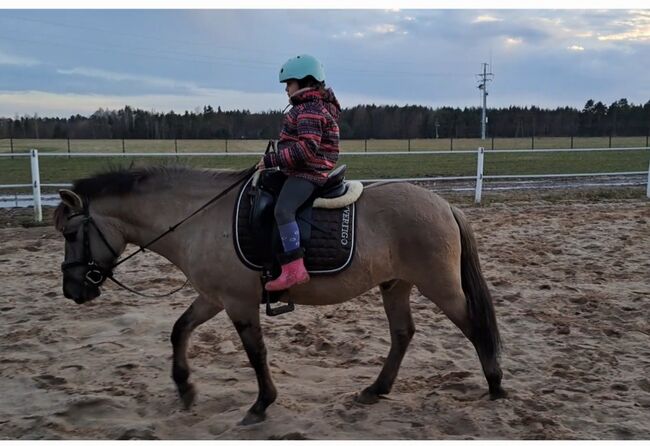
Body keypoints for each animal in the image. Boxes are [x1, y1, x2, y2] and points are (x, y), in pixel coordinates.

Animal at [53, 165, 504, 426]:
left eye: (72, 233)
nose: (73, 290)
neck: (198, 217)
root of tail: (444, 205)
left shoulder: (237, 302)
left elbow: (255, 352)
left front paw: (261, 404)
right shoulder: (214, 297)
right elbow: (180, 330)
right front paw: (184, 389)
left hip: (440, 286)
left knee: (475, 327)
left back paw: (496, 386)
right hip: (396, 285)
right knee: (403, 334)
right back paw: (376, 389)